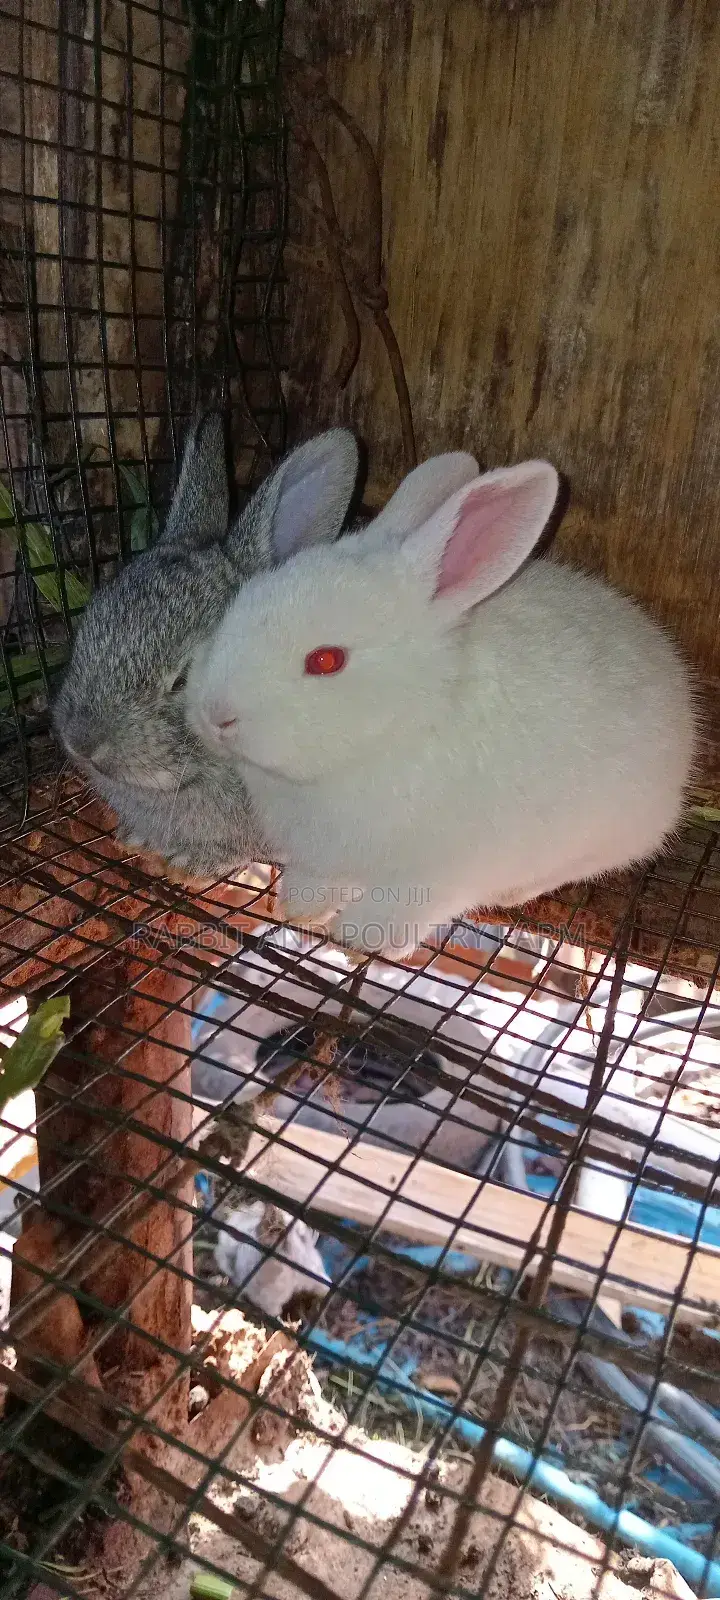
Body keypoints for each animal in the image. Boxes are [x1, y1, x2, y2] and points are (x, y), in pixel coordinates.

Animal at [186, 451, 698, 950]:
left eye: (326, 660)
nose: (214, 714)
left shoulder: (442, 872)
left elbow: (401, 907)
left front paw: (360, 937)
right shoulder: (326, 855)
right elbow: (319, 880)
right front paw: (298, 907)